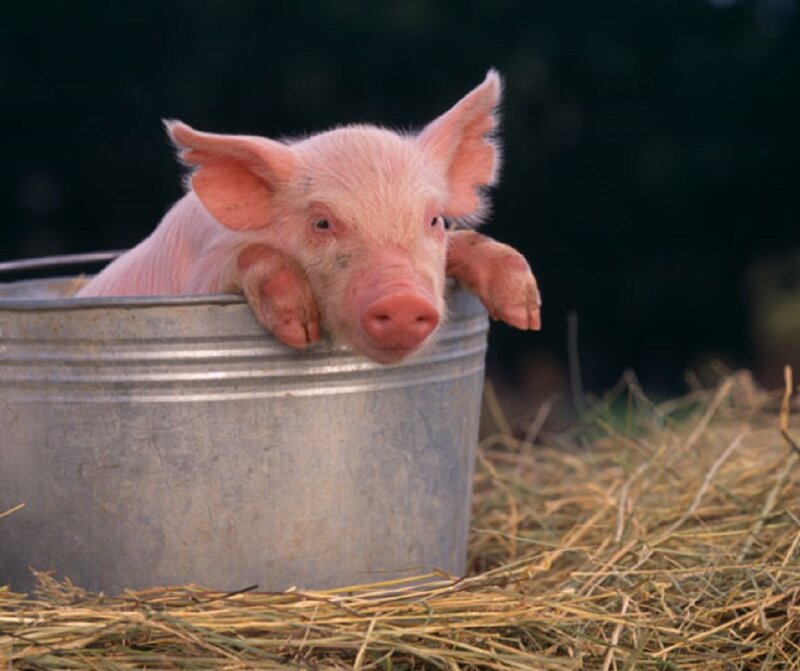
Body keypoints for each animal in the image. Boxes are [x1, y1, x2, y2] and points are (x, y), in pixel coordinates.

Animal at [78, 70, 541, 363]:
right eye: (322, 223)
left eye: (435, 221)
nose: (403, 300)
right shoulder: (200, 278)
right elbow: (251, 256)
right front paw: (300, 330)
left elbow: (469, 243)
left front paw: (525, 312)